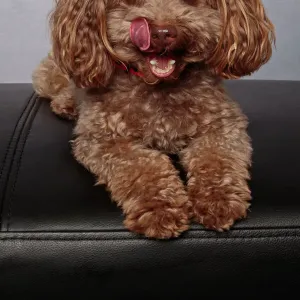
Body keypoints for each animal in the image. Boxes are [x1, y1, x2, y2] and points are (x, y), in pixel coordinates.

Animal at [32, 0, 274, 239]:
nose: (162, 33)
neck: (160, 88)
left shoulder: (224, 125)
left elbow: (216, 159)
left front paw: (217, 199)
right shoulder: (102, 140)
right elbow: (143, 166)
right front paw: (160, 209)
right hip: (51, 73)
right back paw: (65, 104)